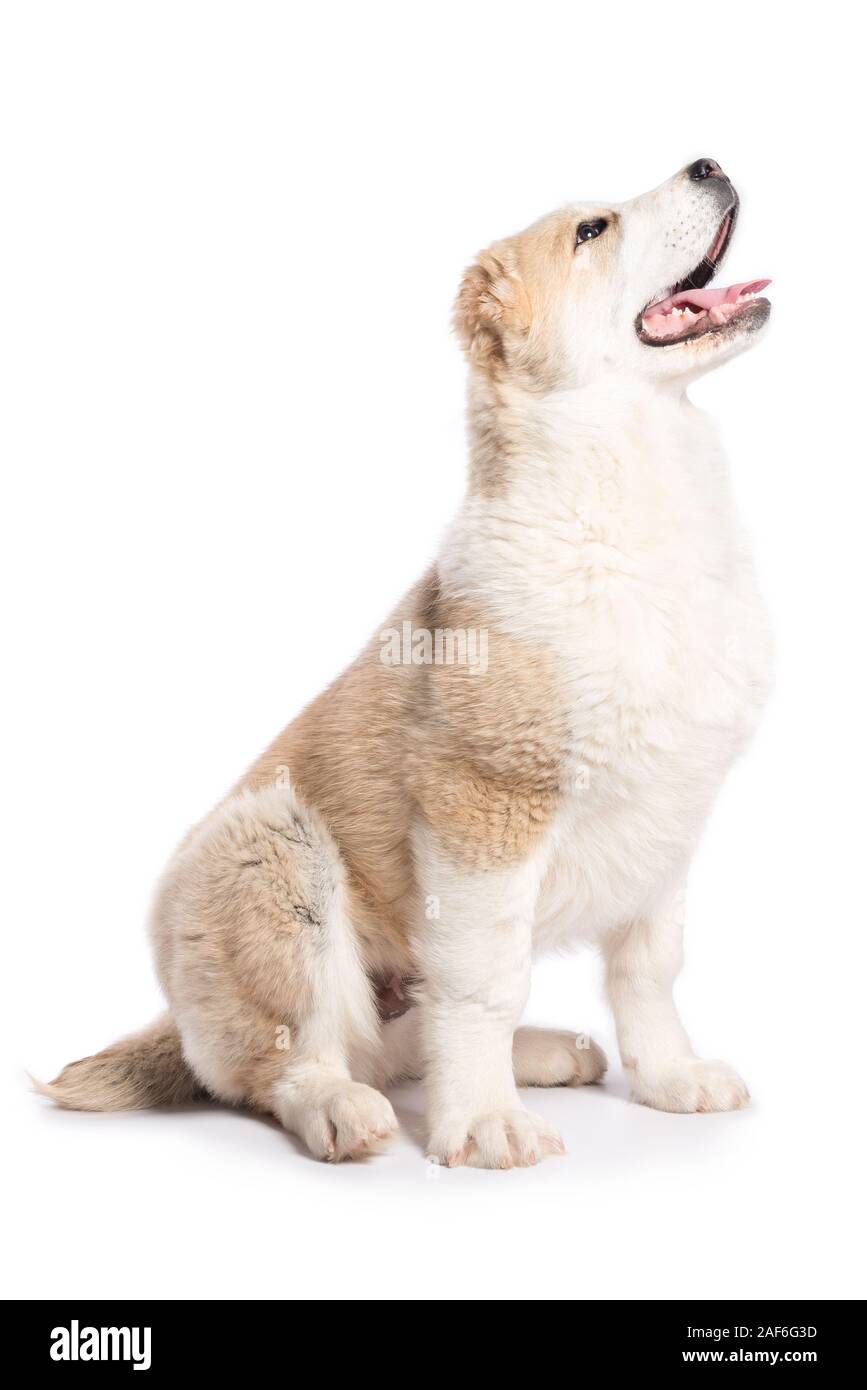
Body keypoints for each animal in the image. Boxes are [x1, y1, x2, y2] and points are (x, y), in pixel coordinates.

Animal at [38, 157, 772, 1167]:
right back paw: (342, 1110)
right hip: (273, 849)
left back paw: (550, 1052)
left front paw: (668, 1079)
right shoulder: (482, 813)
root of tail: (175, 1021)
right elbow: (482, 985)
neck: (629, 493)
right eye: (592, 231)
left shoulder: (668, 823)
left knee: (396, 1043)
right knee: (291, 1061)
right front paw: (484, 1122)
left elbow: (647, 970)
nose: (709, 164)